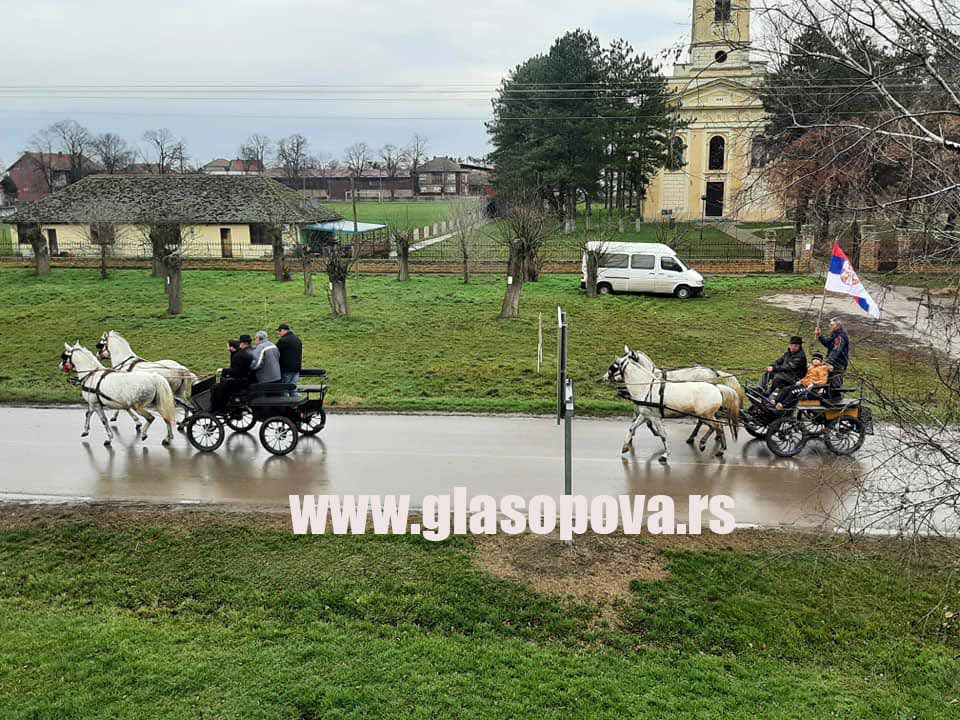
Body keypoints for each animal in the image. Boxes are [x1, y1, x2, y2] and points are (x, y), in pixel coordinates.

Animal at [604, 348, 740, 462]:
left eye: (613, 367)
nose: (604, 377)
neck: (647, 386)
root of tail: (717, 388)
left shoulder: (655, 417)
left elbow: (663, 435)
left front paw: (665, 454)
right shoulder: (645, 414)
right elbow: (632, 427)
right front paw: (625, 446)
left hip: (705, 414)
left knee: (716, 426)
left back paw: (706, 444)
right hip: (707, 414)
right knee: (717, 426)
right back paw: (715, 446)